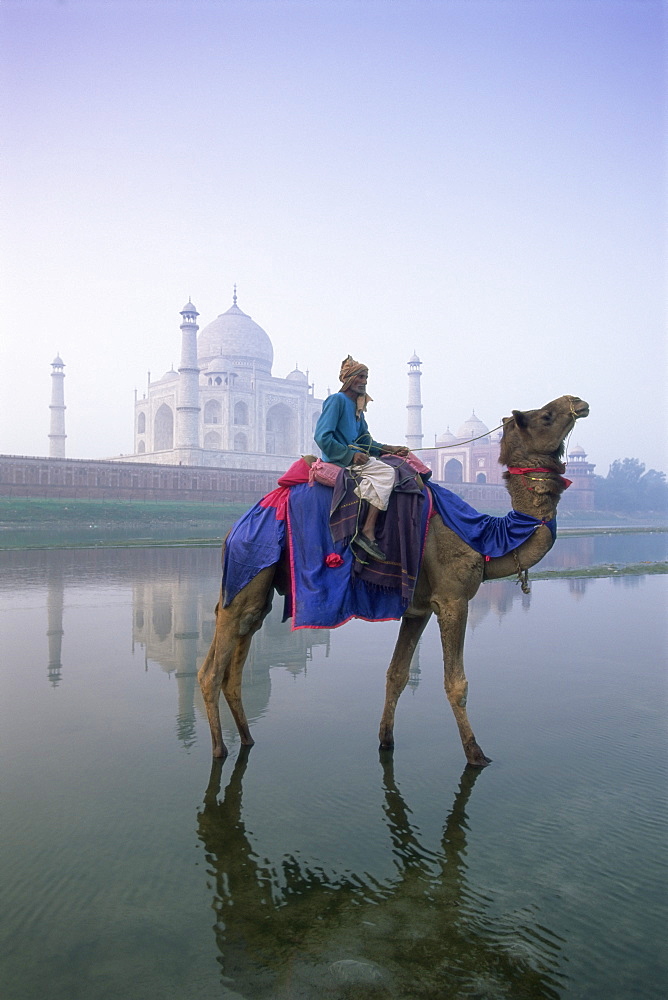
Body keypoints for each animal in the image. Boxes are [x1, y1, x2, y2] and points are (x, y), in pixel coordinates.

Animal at [198, 394, 588, 760]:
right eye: (545, 416)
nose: (578, 402)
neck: (482, 537)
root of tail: (233, 527)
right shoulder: (453, 599)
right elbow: (456, 684)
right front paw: (476, 754)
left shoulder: (419, 608)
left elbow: (396, 675)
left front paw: (386, 740)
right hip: (249, 561)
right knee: (213, 670)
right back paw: (218, 749)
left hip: (254, 587)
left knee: (238, 651)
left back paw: (247, 740)